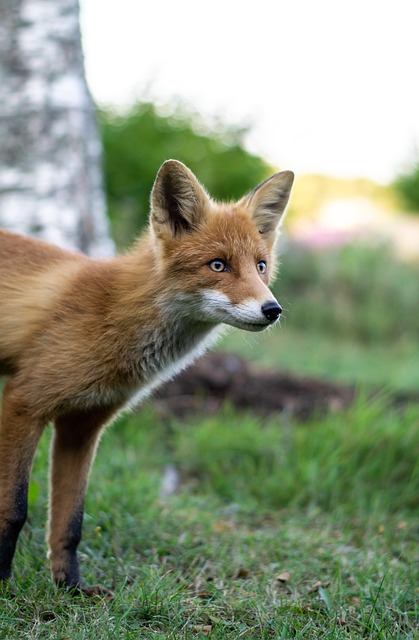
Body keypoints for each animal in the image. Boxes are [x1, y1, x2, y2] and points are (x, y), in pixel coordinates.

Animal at [0, 159, 293, 594]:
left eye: (260, 266)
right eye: (218, 265)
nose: (272, 309)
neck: (113, 313)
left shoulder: (83, 425)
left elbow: (70, 522)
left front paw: (70, 588)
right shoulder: (25, 402)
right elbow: (14, 509)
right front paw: (2, 583)